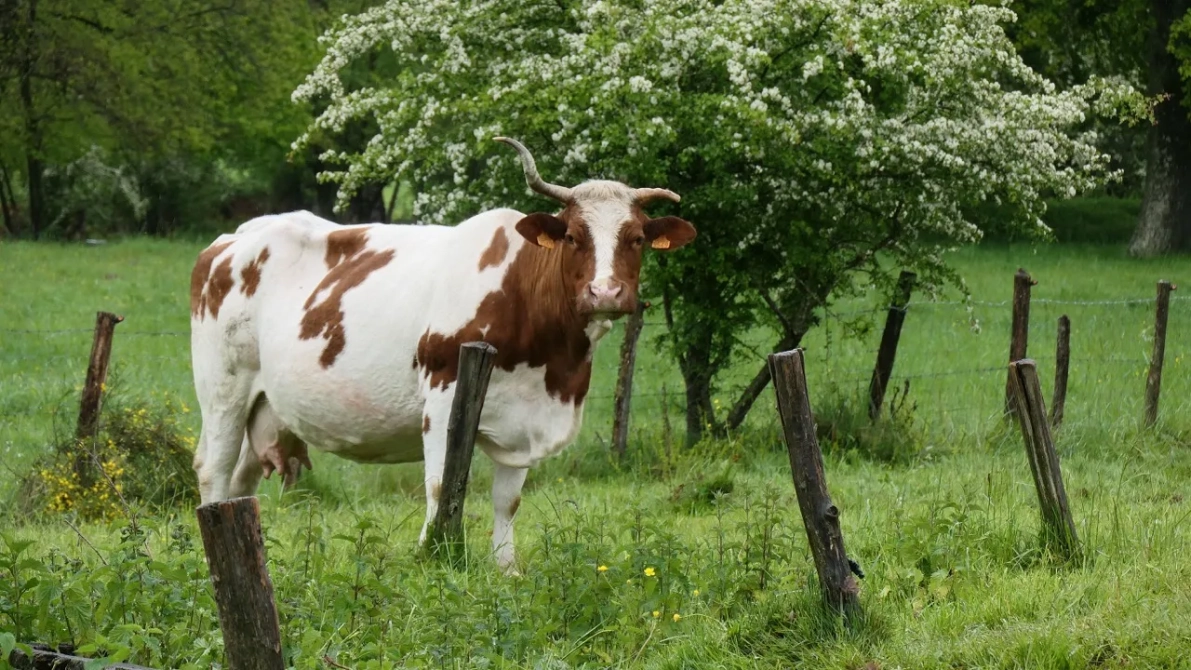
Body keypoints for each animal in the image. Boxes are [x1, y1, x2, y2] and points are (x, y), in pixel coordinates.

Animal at [188, 137, 697, 572]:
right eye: (573, 236)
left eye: (636, 238)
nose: (605, 292)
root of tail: (239, 233)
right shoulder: (444, 392)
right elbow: (438, 487)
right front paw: (430, 554)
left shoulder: (527, 418)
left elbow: (508, 499)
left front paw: (506, 569)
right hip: (223, 390)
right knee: (214, 471)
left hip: (263, 405)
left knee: (240, 483)